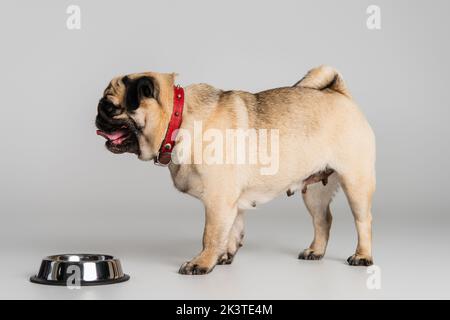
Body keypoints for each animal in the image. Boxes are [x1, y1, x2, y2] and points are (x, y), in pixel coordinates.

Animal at [96, 65, 376, 276]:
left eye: (109, 107)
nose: (97, 116)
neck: (181, 119)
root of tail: (340, 94)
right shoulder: (232, 202)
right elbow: (231, 230)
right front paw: (224, 256)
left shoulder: (217, 200)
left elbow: (211, 235)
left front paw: (201, 263)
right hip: (315, 192)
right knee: (323, 220)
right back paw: (315, 251)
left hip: (355, 183)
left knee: (363, 221)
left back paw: (362, 256)